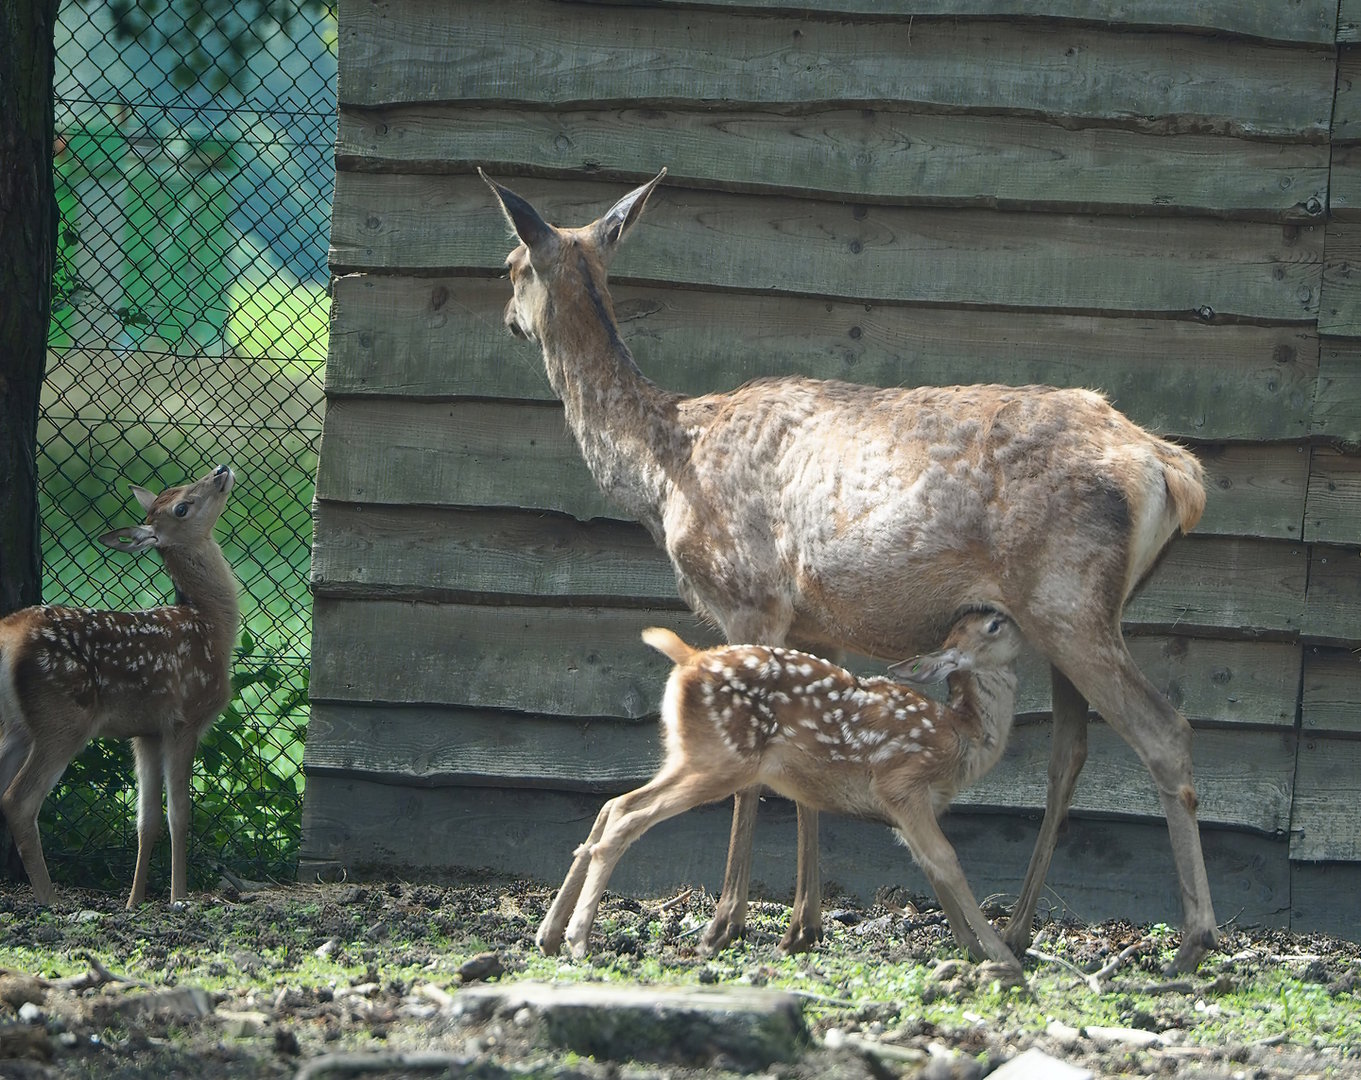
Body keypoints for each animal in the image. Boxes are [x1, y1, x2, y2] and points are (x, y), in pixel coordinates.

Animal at [0, 464, 240, 909]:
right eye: (182, 507)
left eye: (174, 489)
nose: (220, 470)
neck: (212, 626)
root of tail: (10, 634)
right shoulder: (186, 719)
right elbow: (180, 814)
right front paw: (178, 898)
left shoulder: (145, 732)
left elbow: (147, 820)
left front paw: (134, 902)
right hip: (62, 719)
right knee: (19, 801)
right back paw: (52, 901)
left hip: (17, 726)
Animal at [538, 610, 1027, 971]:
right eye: (994, 625)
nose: (1018, 620)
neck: (961, 733)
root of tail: (689, 659)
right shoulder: (902, 784)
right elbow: (947, 860)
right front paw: (1001, 955)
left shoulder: (905, 813)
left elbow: (930, 867)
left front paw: (972, 948)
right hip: (722, 760)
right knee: (627, 816)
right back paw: (578, 940)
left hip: (687, 755)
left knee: (611, 805)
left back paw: (550, 935)